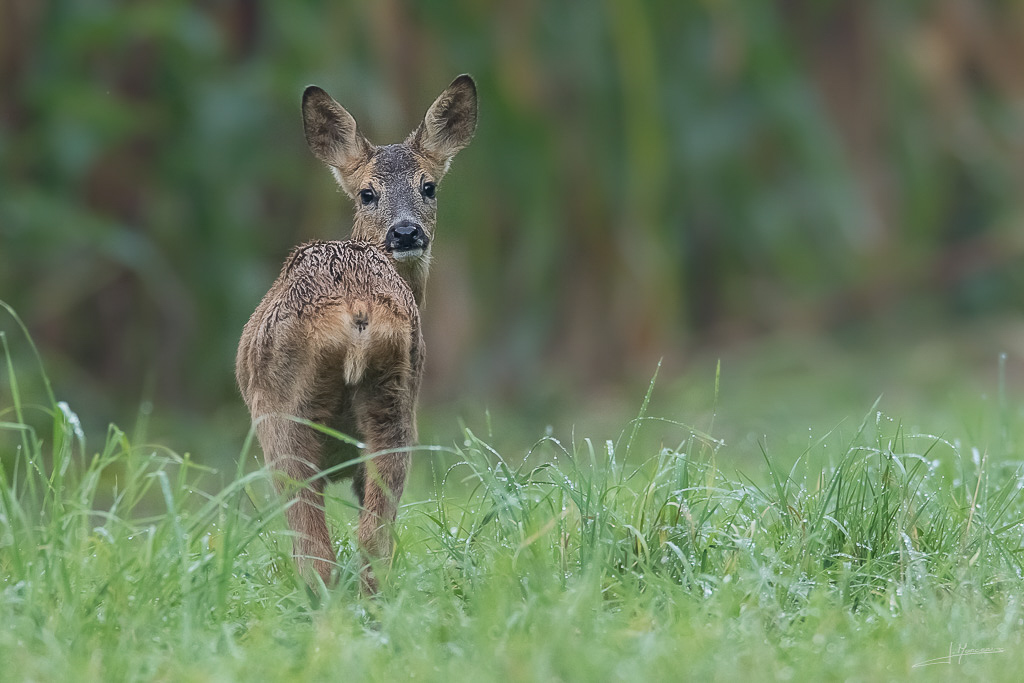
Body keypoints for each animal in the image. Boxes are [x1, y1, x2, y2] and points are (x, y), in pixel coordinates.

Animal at [236, 72, 479, 589]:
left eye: (429, 187)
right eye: (368, 193)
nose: (406, 233)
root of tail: (357, 303)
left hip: (282, 418)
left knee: (316, 549)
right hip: (395, 400)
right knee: (373, 534)